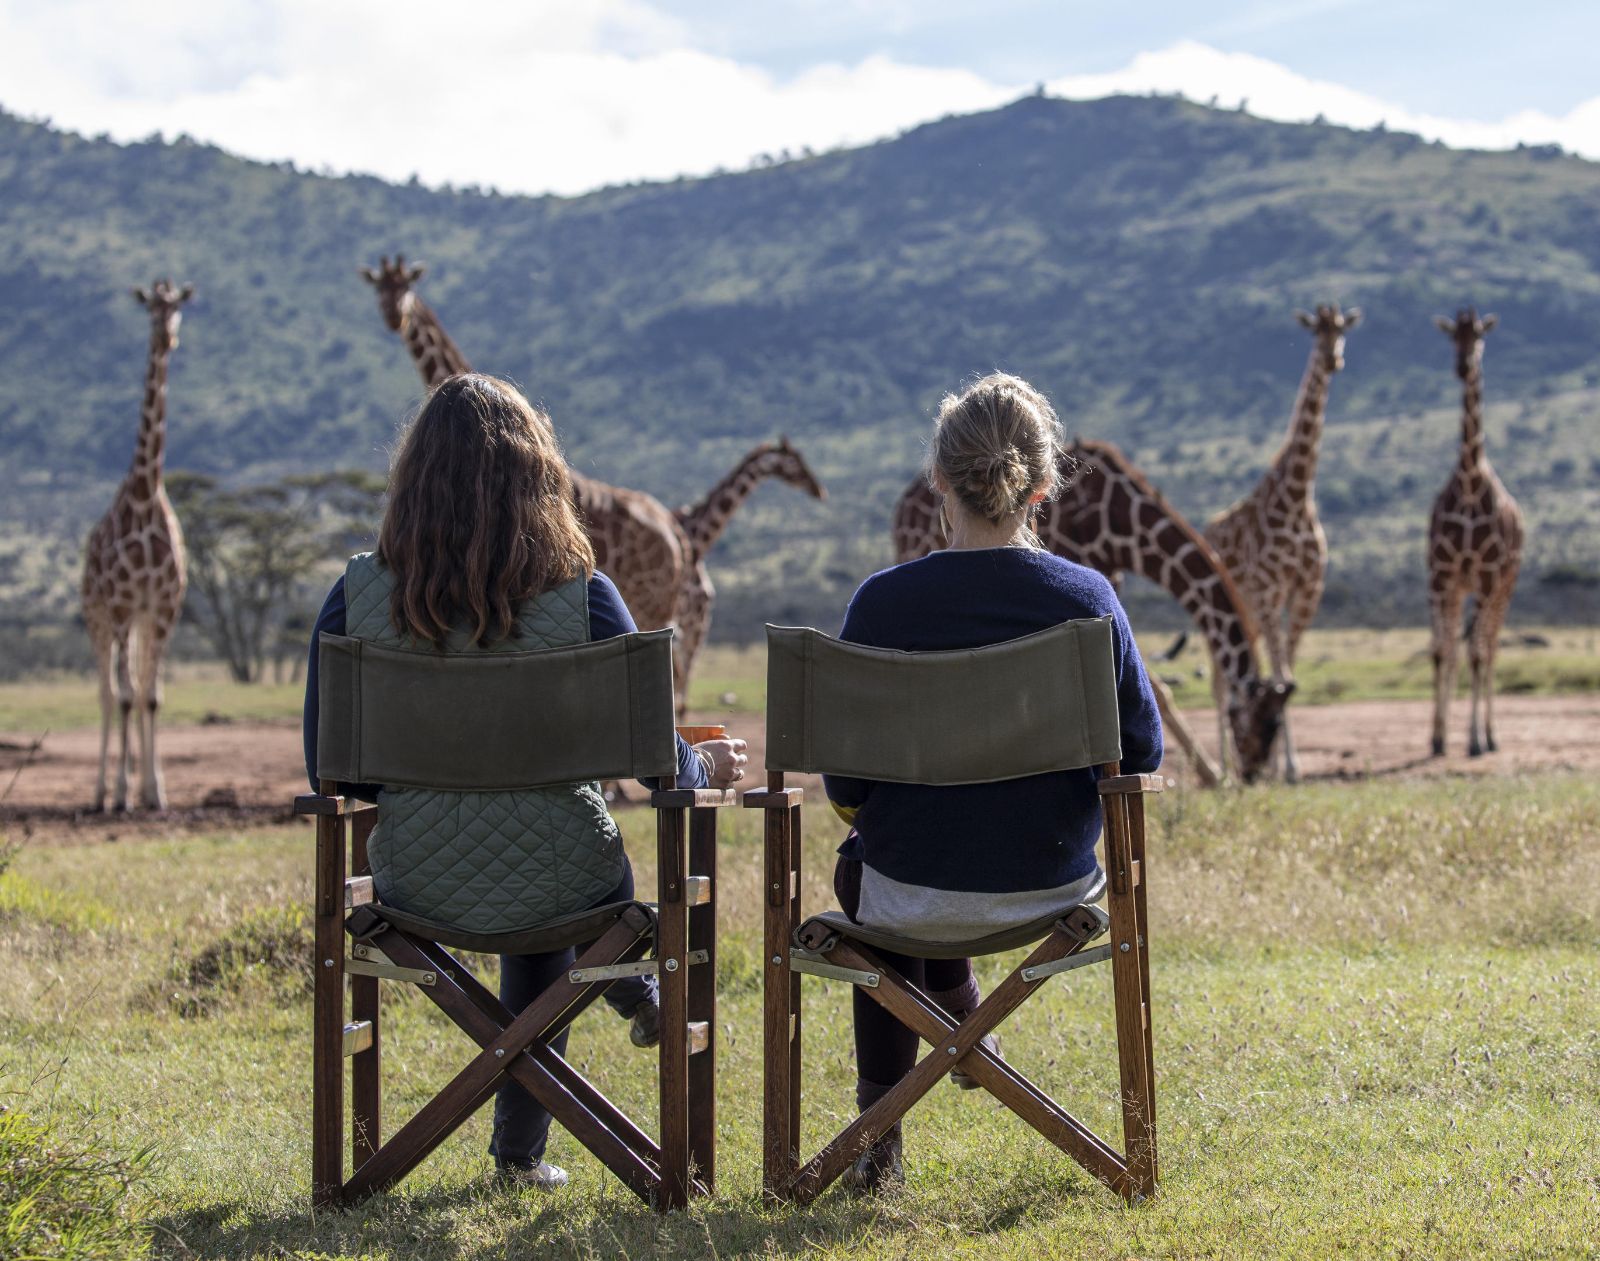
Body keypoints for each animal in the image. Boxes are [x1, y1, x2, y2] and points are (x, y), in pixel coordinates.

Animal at [893, 439, 1292, 782]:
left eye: (1276, 723)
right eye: (1262, 724)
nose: (1252, 774)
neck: (1121, 522)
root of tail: (902, 508)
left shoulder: (1108, 582)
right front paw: (1212, 776)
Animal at [1204, 303, 1361, 782]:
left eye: (1343, 332)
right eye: (1315, 332)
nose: (1333, 359)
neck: (1296, 496)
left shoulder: (1305, 592)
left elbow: (1286, 671)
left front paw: (1286, 765)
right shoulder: (1270, 592)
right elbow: (1278, 669)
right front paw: (1282, 766)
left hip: (1249, 614)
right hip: (1233, 606)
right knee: (1219, 683)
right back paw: (1222, 770)